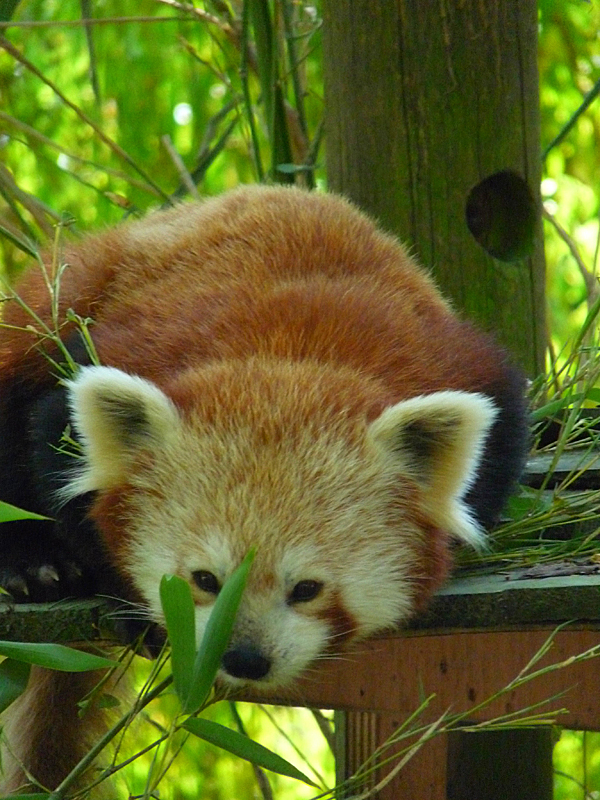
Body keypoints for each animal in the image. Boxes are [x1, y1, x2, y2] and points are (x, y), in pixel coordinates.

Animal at [0, 184, 524, 792]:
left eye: (307, 589)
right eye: (205, 579)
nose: (245, 658)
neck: (287, 352)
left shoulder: (461, 363)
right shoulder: (121, 347)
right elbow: (52, 446)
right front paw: (125, 596)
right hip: (73, 285)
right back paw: (32, 563)